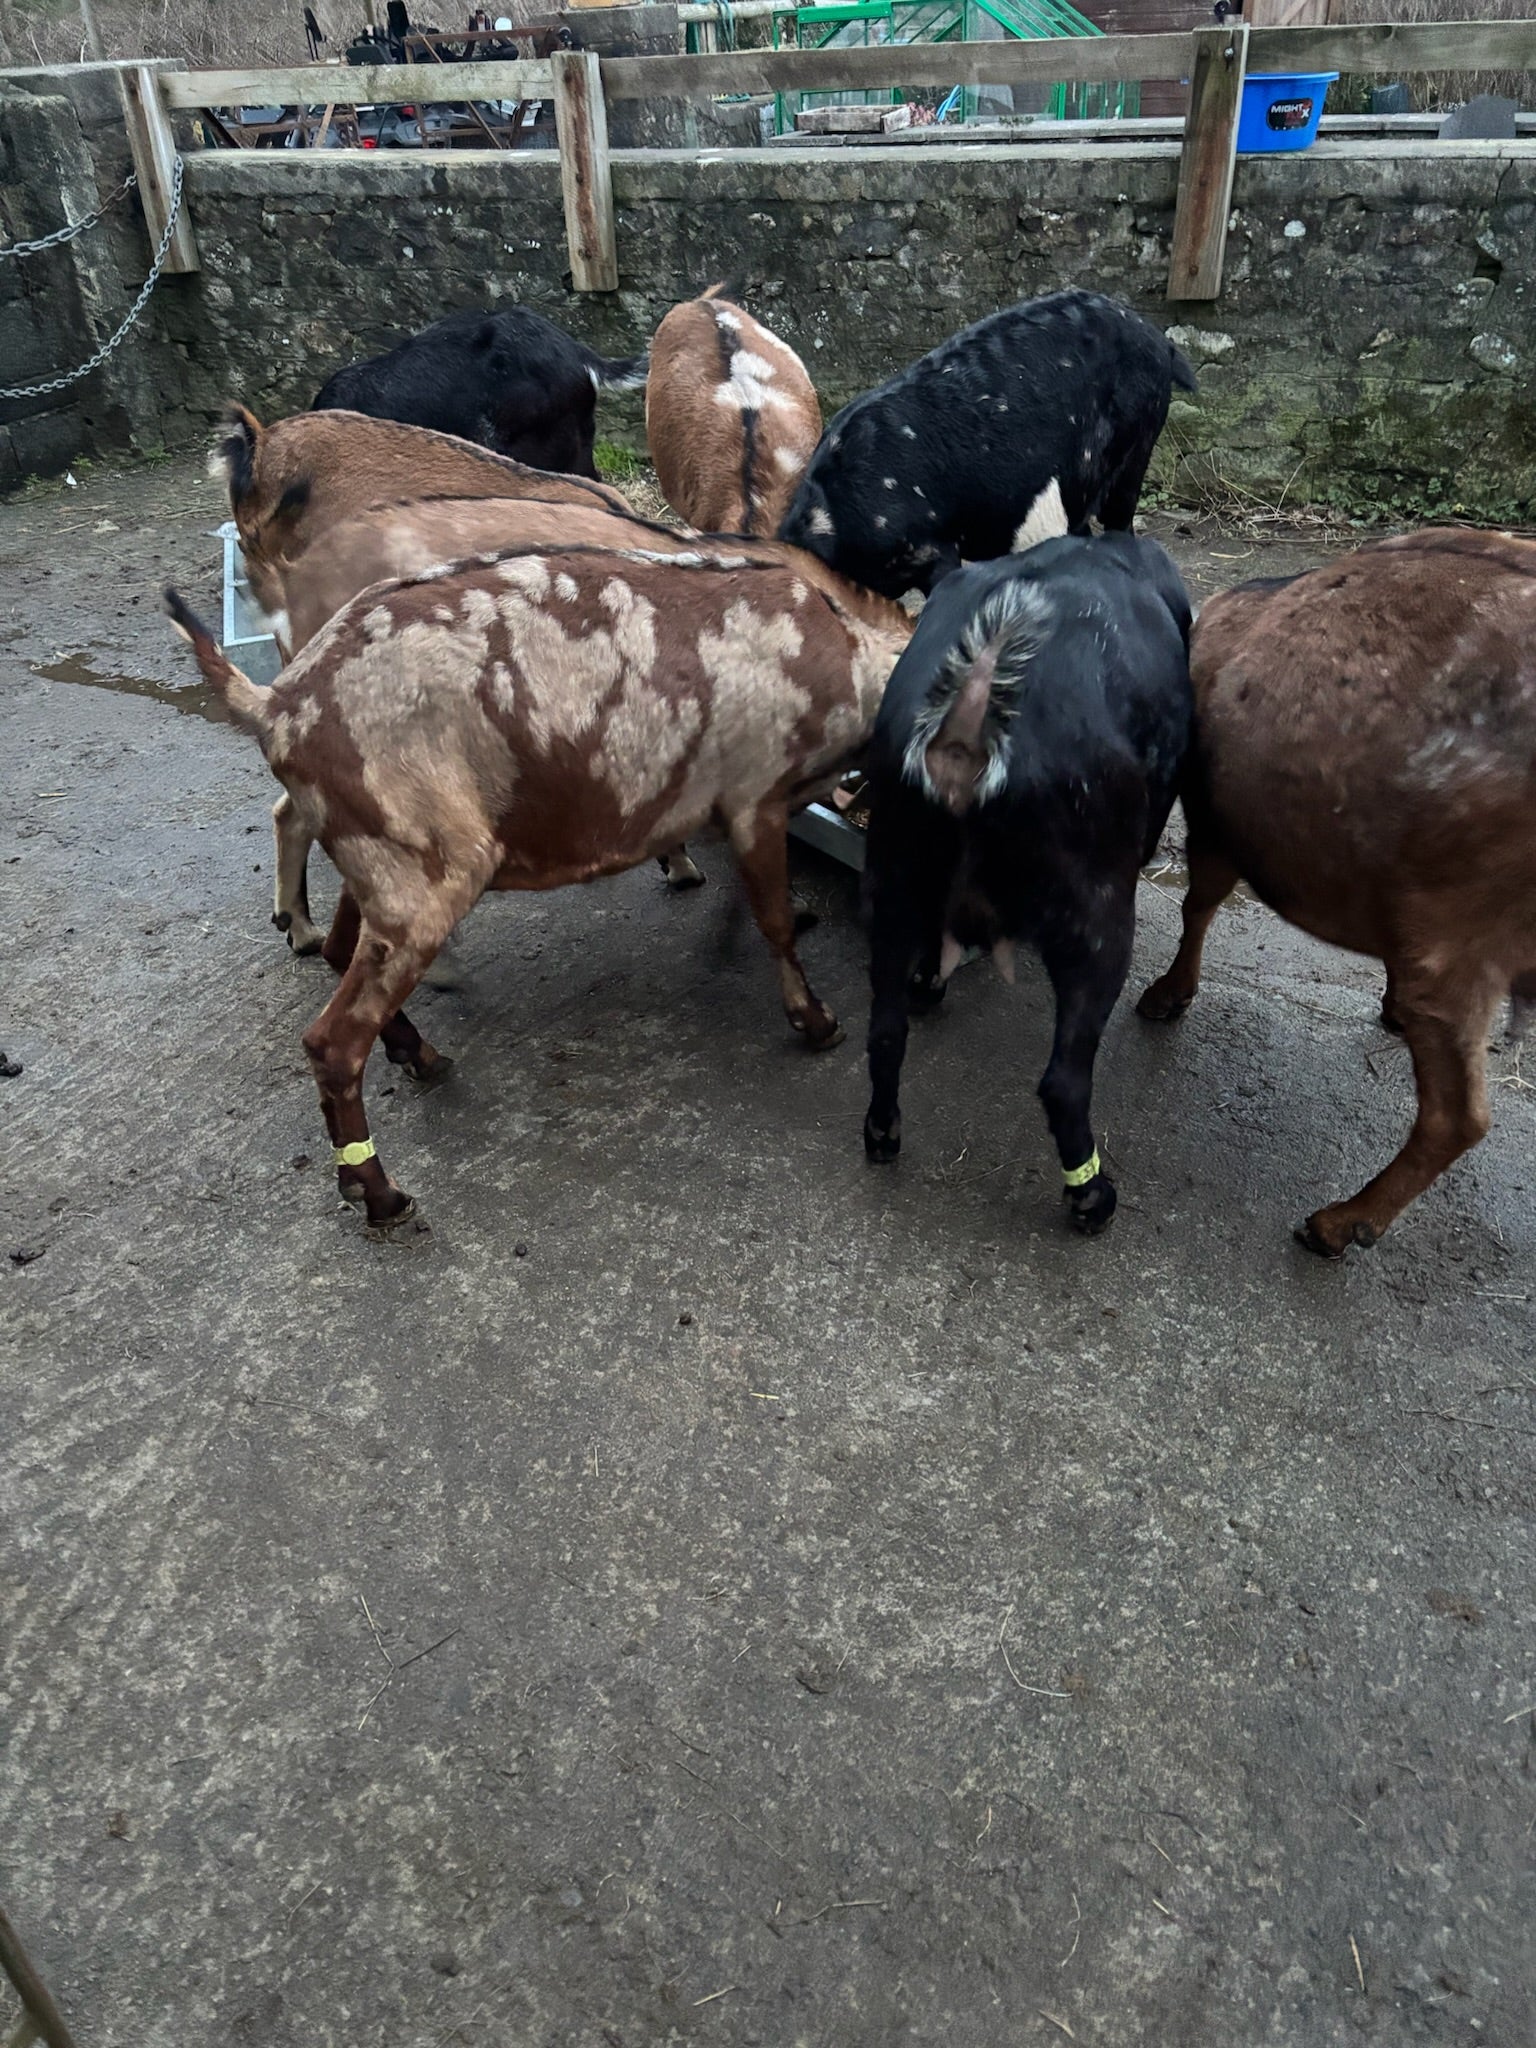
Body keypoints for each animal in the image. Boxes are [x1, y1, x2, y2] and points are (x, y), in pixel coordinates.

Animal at [166, 544, 912, 1226]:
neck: (846, 650)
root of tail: (275, 706)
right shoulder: (758, 796)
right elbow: (775, 921)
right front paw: (816, 1021)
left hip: (376, 856)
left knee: (338, 952)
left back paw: (418, 1054)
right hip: (428, 870)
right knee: (332, 1041)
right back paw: (380, 1194)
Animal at [861, 533, 1193, 1234]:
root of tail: (973, 706)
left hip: (893, 877)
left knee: (887, 1027)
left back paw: (883, 1131)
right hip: (1098, 920)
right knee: (1063, 1082)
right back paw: (1092, 1198)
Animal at [1137, 527, 1536, 1256]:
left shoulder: (1214, 823)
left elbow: (1197, 904)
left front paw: (1167, 994)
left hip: (1457, 943)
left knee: (1458, 1118)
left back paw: (1341, 1222)